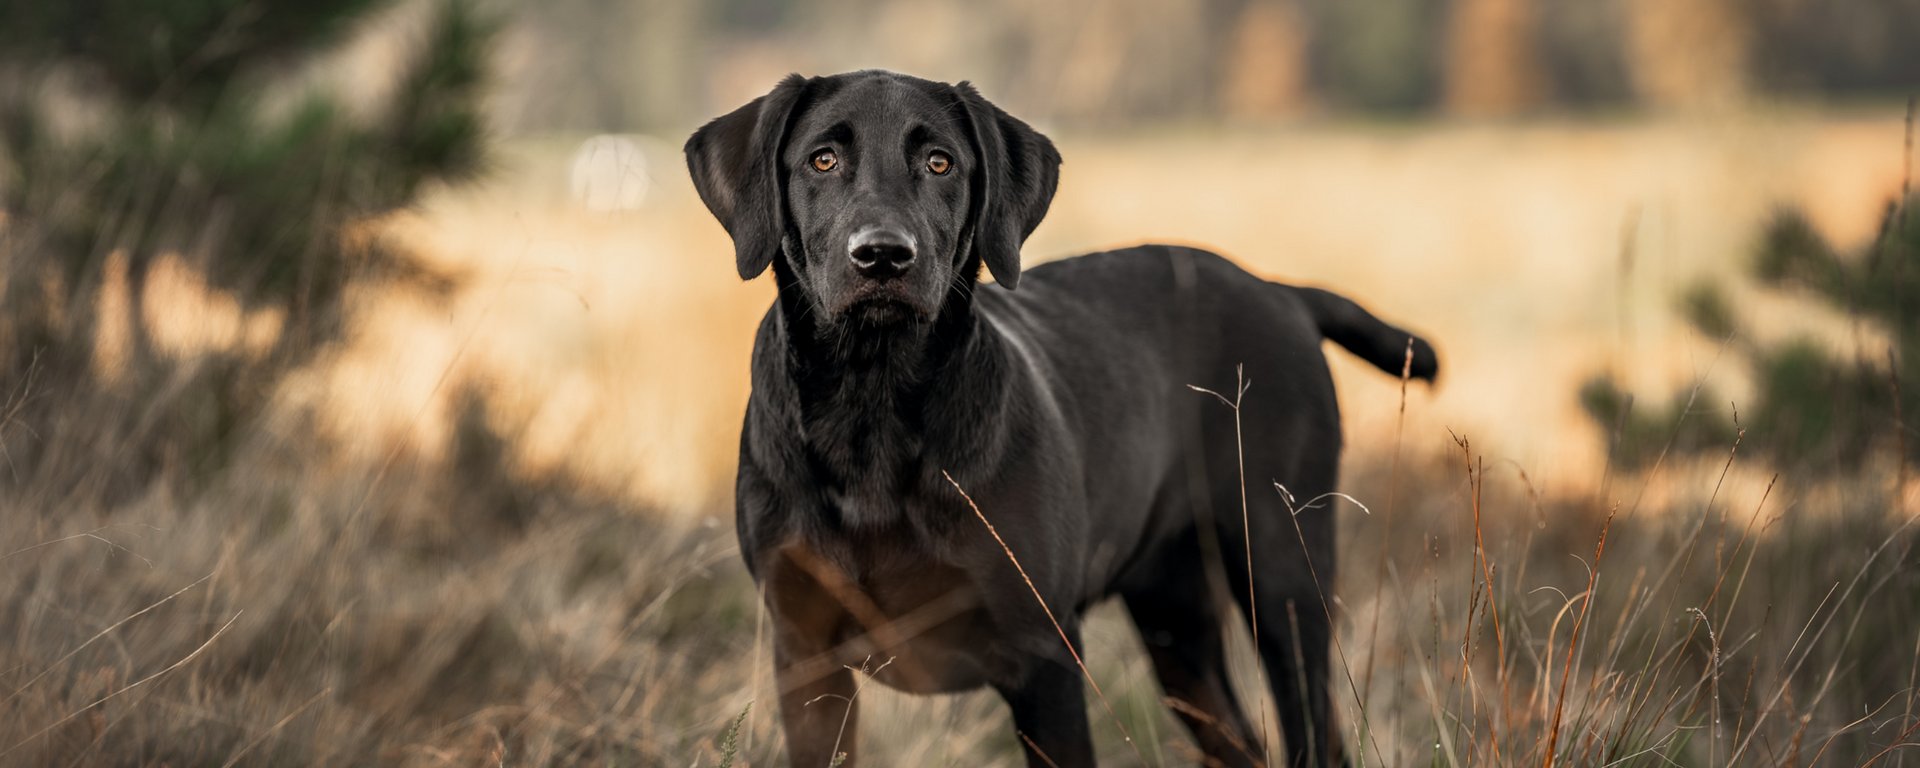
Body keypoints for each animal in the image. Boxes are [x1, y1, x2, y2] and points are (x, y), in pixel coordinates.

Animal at [683, 69, 1436, 764]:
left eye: (940, 162)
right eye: (822, 159)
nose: (883, 256)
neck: (871, 407)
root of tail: (1281, 291)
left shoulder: (1042, 656)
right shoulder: (806, 658)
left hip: (1281, 571)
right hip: (1177, 621)